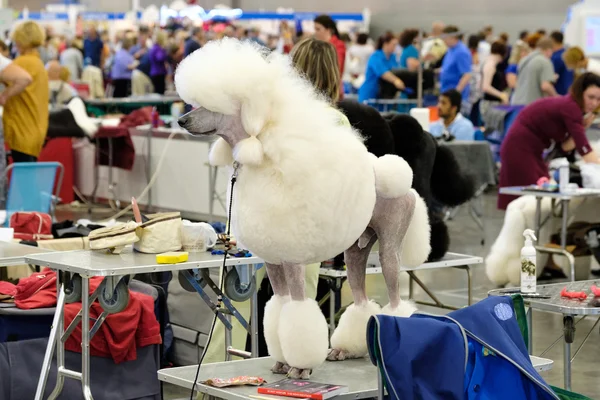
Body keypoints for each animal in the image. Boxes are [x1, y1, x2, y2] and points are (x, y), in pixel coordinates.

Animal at [173, 39, 432, 380]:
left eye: (213, 105)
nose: (181, 121)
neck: (262, 157)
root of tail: (406, 185)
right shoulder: (273, 260)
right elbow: (279, 308)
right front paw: (282, 362)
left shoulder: (293, 259)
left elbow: (297, 312)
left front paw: (300, 367)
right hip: (357, 248)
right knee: (361, 298)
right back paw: (347, 348)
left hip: (390, 246)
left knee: (395, 297)